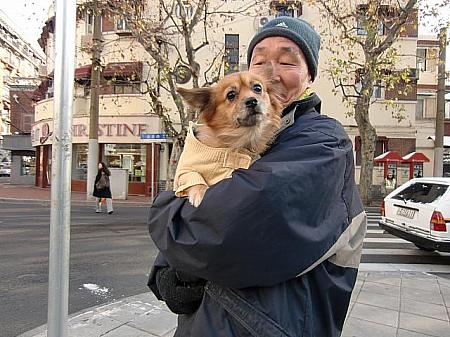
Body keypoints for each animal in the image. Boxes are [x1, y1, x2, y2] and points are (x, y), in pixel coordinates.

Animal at [173, 71, 282, 205]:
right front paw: (199, 193)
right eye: (231, 95)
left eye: (257, 88)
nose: (252, 101)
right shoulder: (183, 172)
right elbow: (193, 177)